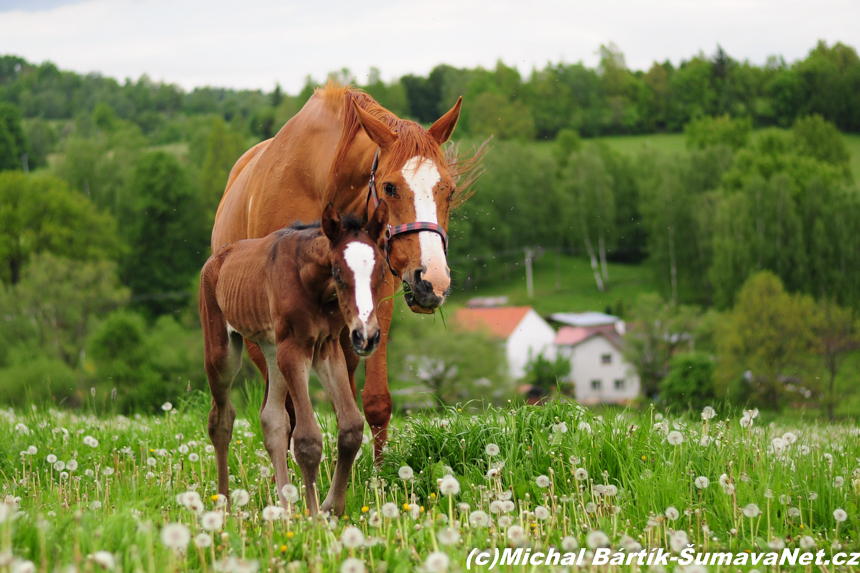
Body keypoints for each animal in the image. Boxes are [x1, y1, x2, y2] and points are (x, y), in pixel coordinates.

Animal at [200, 203, 388, 516]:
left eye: (381, 273)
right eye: (338, 273)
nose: (367, 336)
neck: (310, 282)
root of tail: (217, 257)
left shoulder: (327, 347)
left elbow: (351, 426)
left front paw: (331, 508)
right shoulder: (295, 347)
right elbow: (307, 439)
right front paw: (314, 517)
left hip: (272, 349)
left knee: (272, 419)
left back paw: (285, 509)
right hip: (222, 352)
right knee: (221, 420)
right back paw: (224, 505)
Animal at [207, 82, 478, 456]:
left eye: (449, 191)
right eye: (390, 187)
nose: (432, 281)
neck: (323, 182)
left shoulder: (376, 298)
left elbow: (373, 401)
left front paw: (378, 472)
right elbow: (292, 411)